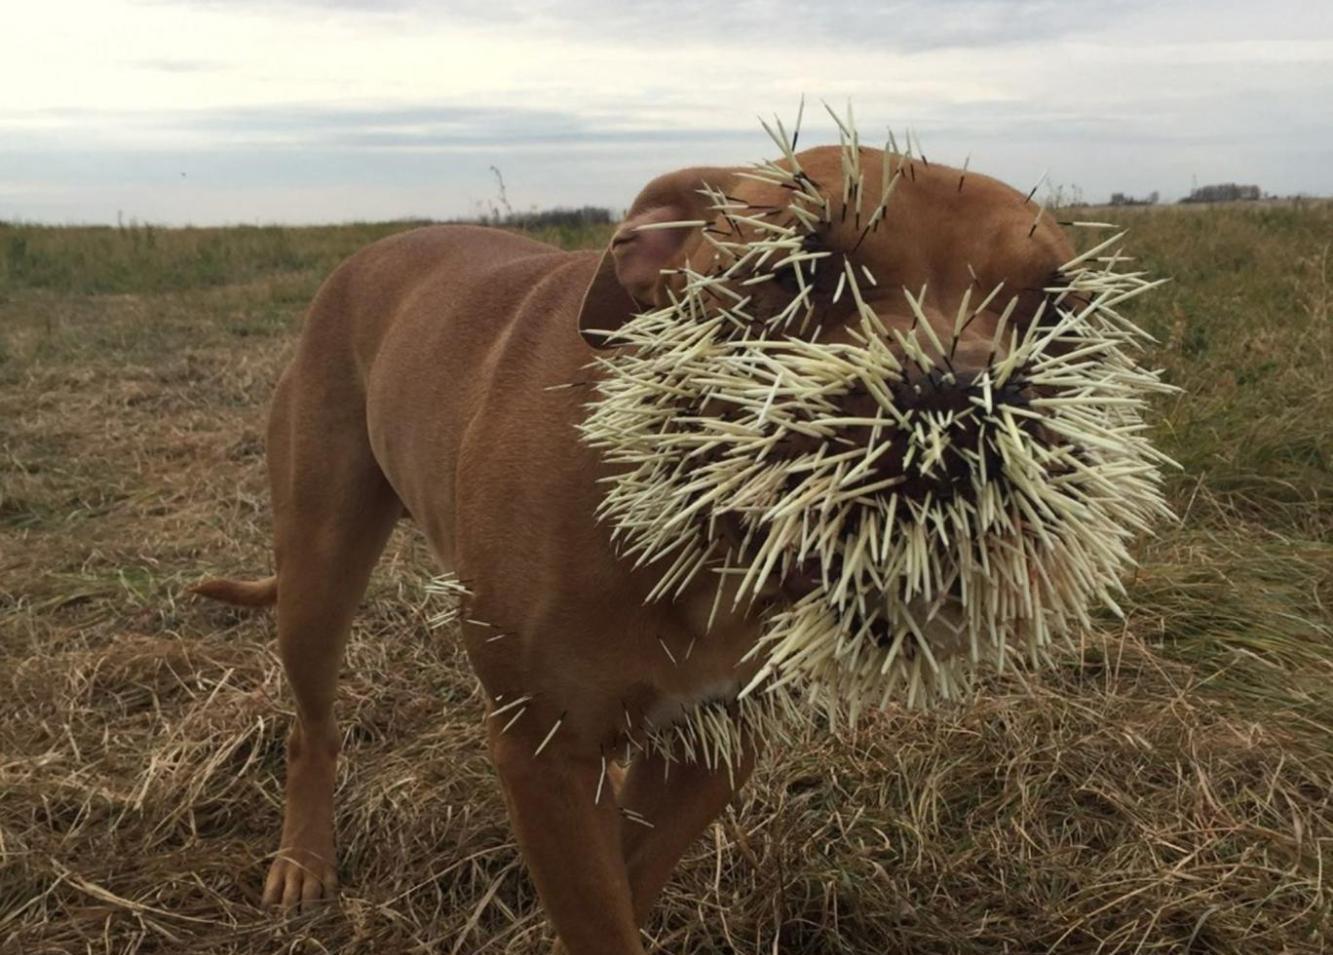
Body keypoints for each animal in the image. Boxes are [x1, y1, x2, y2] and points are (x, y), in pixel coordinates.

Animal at [193, 143, 1077, 955]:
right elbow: (597, 907)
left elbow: (625, 873)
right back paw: (303, 859)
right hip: (319, 566)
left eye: (1057, 310)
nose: (961, 397)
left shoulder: (713, 742)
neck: (700, 531)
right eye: (796, 272)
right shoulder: (543, 748)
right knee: (311, 723)